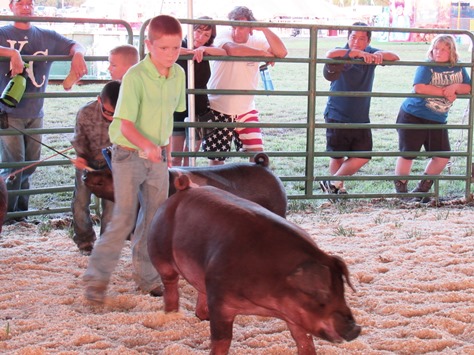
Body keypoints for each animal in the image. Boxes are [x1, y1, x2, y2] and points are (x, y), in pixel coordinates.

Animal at [147, 176, 360, 355]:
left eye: (342, 291)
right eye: (321, 295)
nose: (356, 328)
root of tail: (186, 188)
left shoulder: (295, 314)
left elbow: (304, 340)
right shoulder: (220, 300)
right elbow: (222, 340)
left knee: (200, 289)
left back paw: (202, 317)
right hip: (160, 253)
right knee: (170, 284)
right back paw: (171, 314)